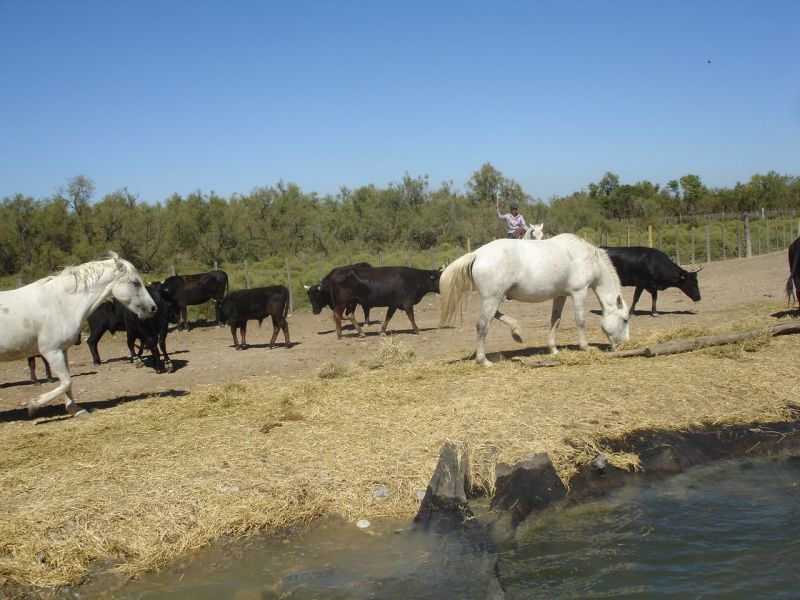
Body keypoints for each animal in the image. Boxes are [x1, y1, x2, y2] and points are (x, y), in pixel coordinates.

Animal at [0, 252, 156, 418]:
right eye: (135, 282)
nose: (153, 308)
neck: (61, 303)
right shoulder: (51, 352)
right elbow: (67, 382)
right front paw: (34, 404)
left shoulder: (62, 351)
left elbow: (67, 383)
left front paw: (76, 410)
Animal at [440, 234, 628, 366]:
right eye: (625, 319)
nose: (624, 344)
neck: (587, 258)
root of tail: (476, 254)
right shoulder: (579, 293)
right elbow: (580, 321)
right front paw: (585, 347)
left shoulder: (560, 296)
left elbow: (555, 321)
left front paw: (553, 349)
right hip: (492, 298)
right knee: (482, 325)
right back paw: (484, 360)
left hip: (494, 298)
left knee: (495, 316)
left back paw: (516, 332)